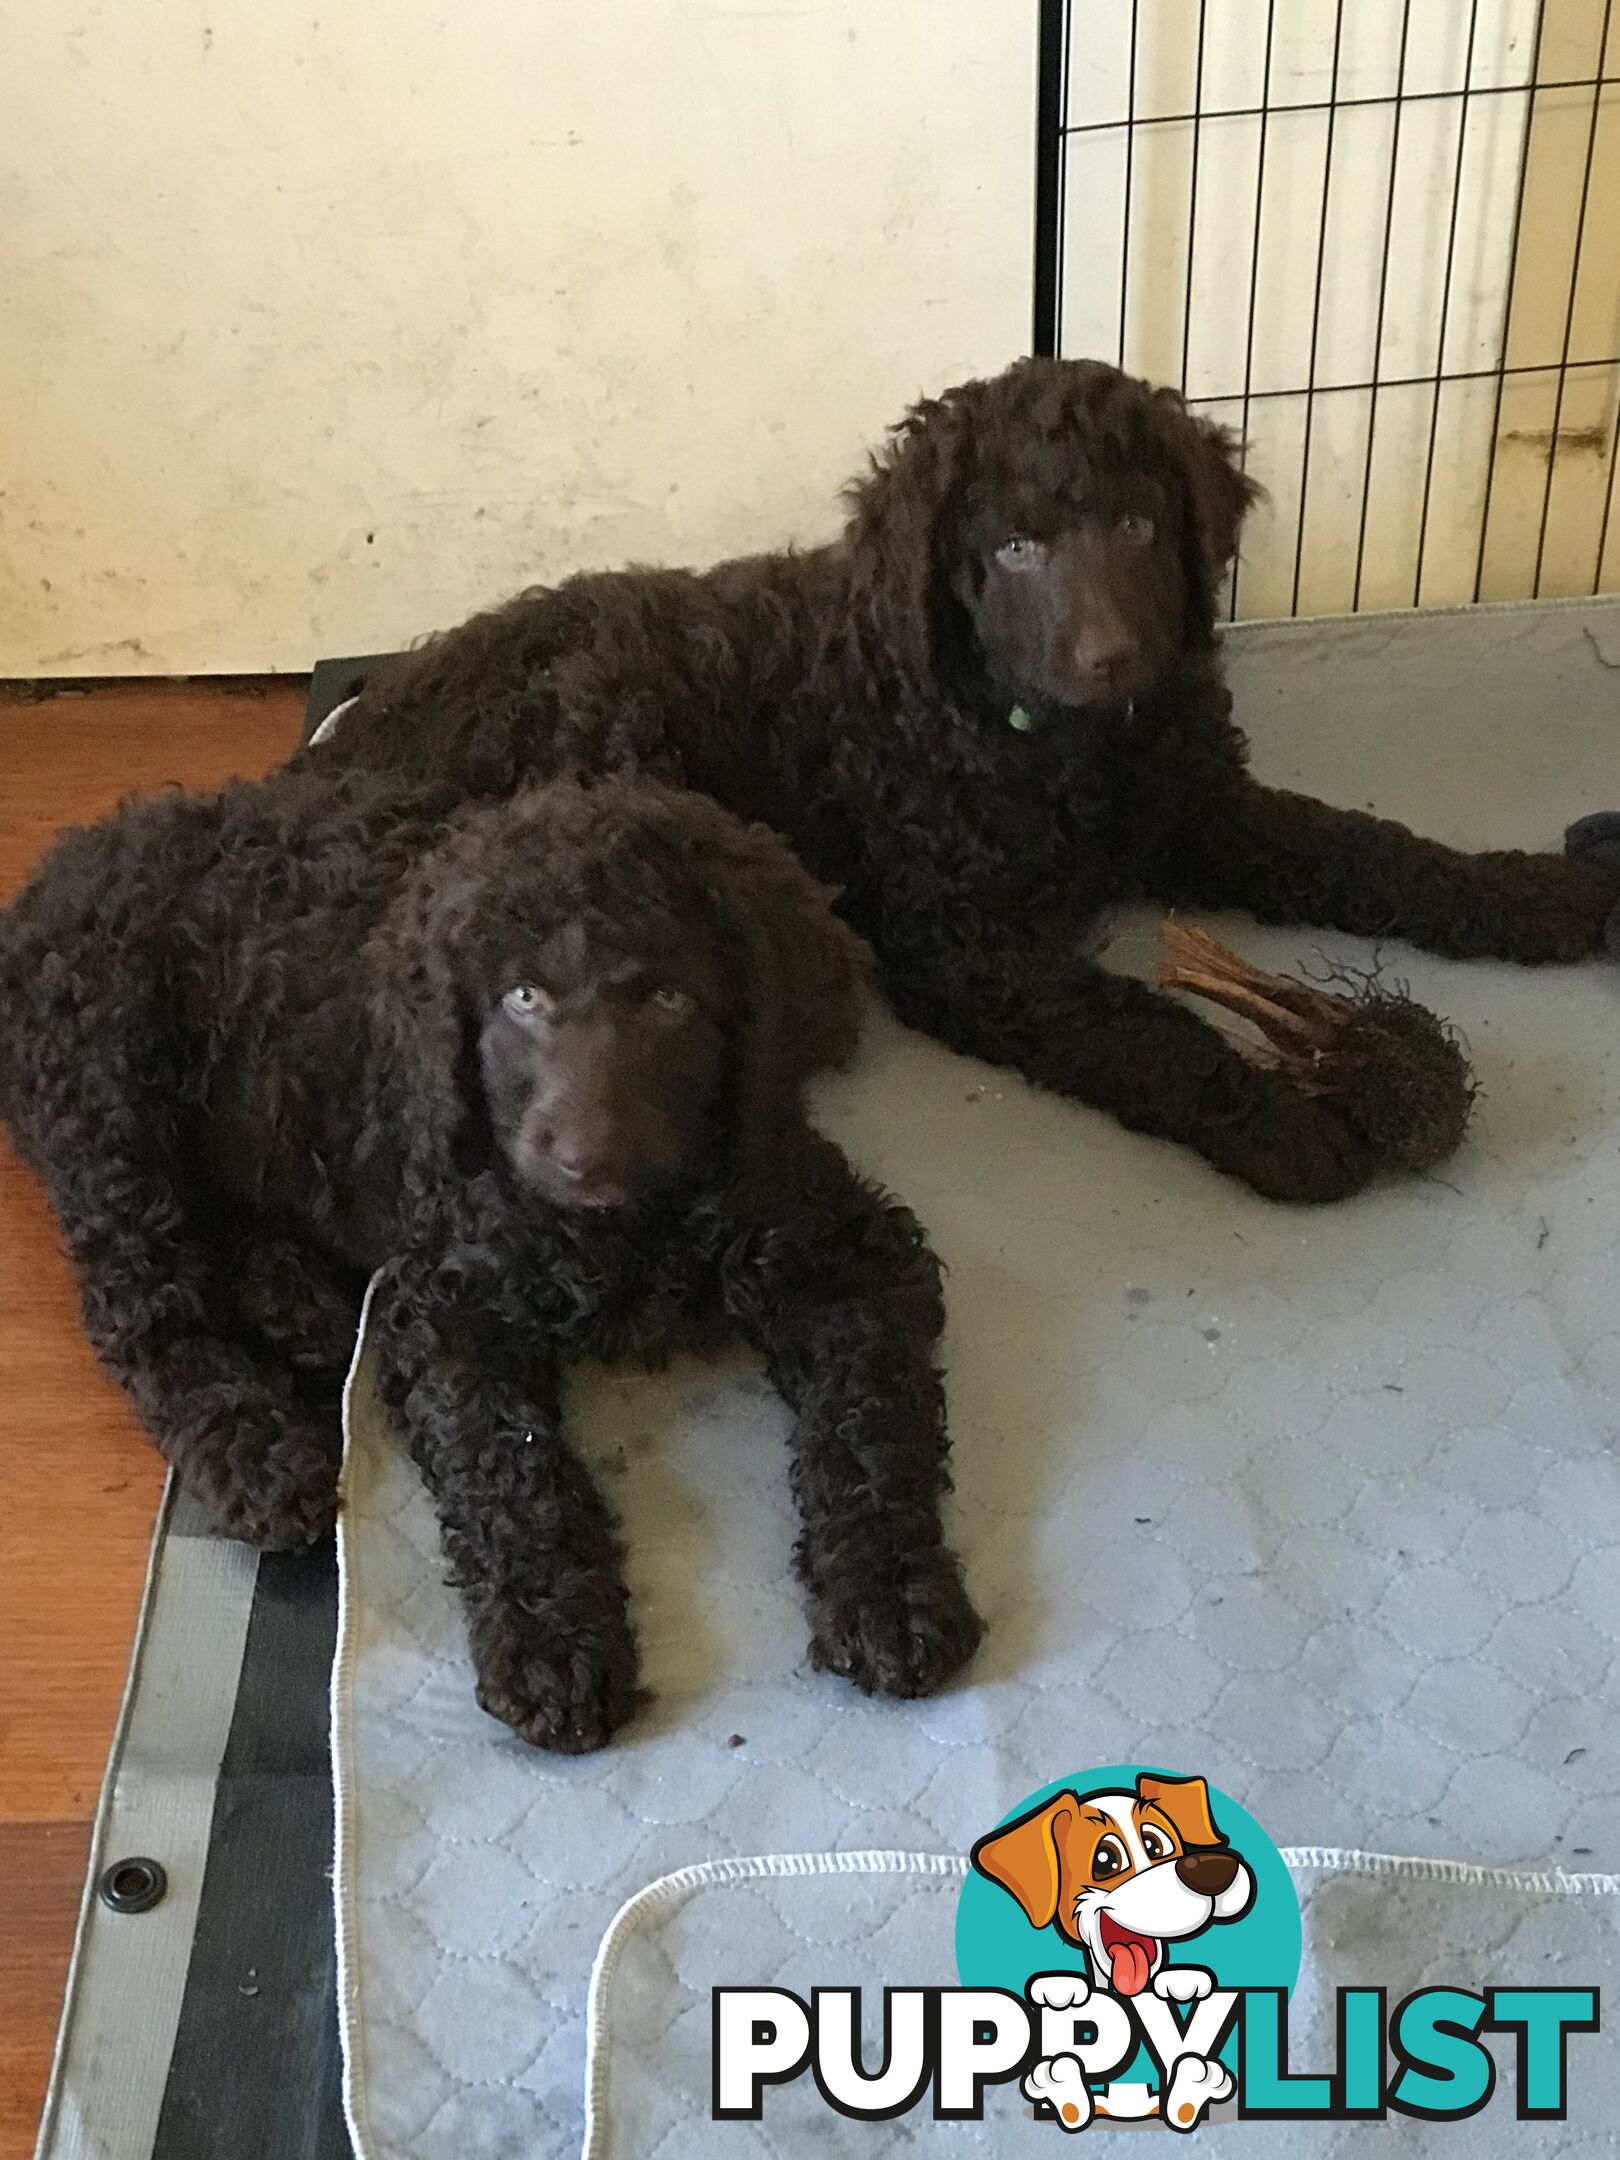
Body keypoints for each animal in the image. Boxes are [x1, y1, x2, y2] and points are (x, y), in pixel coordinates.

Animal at [0, 768, 984, 1745]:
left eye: (669, 1000)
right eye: (523, 998)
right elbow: (507, 1464)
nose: (586, 1158)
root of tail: (65, 869)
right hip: (107, 1102)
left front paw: (891, 1593)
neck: (626, 1228)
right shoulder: (450, 1305)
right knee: (142, 1300)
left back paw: (303, 1308)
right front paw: (553, 1643)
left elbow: (868, 1424)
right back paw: (255, 1451)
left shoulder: (838, 1248)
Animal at [304, 354, 1620, 1200]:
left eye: (1141, 526)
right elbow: (1137, 1022)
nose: (1114, 656)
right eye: (1016, 549)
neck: (1061, 748)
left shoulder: (1204, 810)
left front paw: (1538, 895)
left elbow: (1371, 848)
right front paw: (1280, 1118)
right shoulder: (966, 943)